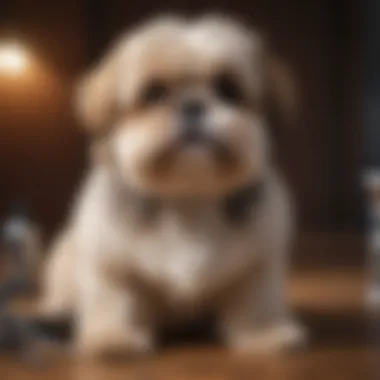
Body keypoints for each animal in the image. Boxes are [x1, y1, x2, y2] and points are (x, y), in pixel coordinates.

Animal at [40, 14, 304, 360]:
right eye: (155, 93)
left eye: (228, 88)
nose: (193, 105)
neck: (187, 199)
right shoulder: (111, 265)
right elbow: (116, 301)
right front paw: (113, 338)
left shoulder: (258, 264)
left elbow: (258, 300)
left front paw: (265, 335)